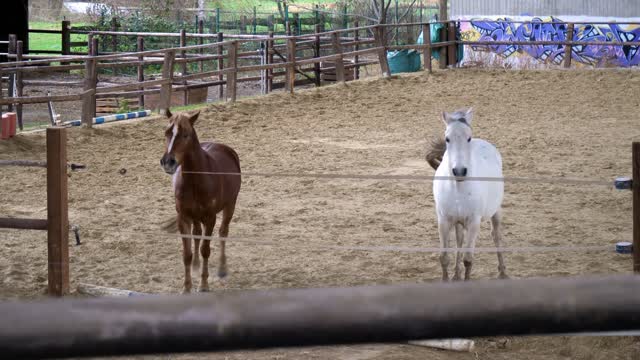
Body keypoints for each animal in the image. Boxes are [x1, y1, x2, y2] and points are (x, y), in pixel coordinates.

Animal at [159, 109, 241, 292]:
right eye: (166, 132)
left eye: (186, 134)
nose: (168, 162)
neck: (196, 180)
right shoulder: (184, 218)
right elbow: (187, 254)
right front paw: (186, 287)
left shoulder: (210, 218)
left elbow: (206, 250)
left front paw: (203, 285)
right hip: (196, 217)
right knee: (196, 235)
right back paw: (196, 265)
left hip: (230, 205)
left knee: (223, 232)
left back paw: (222, 268)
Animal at [428, 107, 508, 282]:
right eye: (447, 138)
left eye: (468, 138)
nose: (459, 171)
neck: (458, 189)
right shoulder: (443, 221)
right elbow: (444, 257)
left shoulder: (473, 223)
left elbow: (468, 259)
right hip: (457, 221)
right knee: (459, 240)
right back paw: (456, 275)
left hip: (496, 211)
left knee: (496, 236)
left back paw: (503, 272)